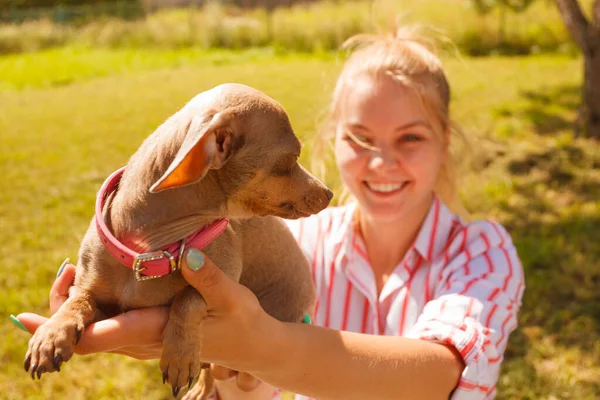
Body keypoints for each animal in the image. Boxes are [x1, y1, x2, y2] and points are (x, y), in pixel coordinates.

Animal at [24, 83, 332, 398]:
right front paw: (52, 333)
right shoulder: (92, 291)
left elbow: (188, 298)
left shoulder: (222, 282)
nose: (329, 193)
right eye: (291, 160)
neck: (148, 253)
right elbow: (77, 300)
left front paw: (180, 356)